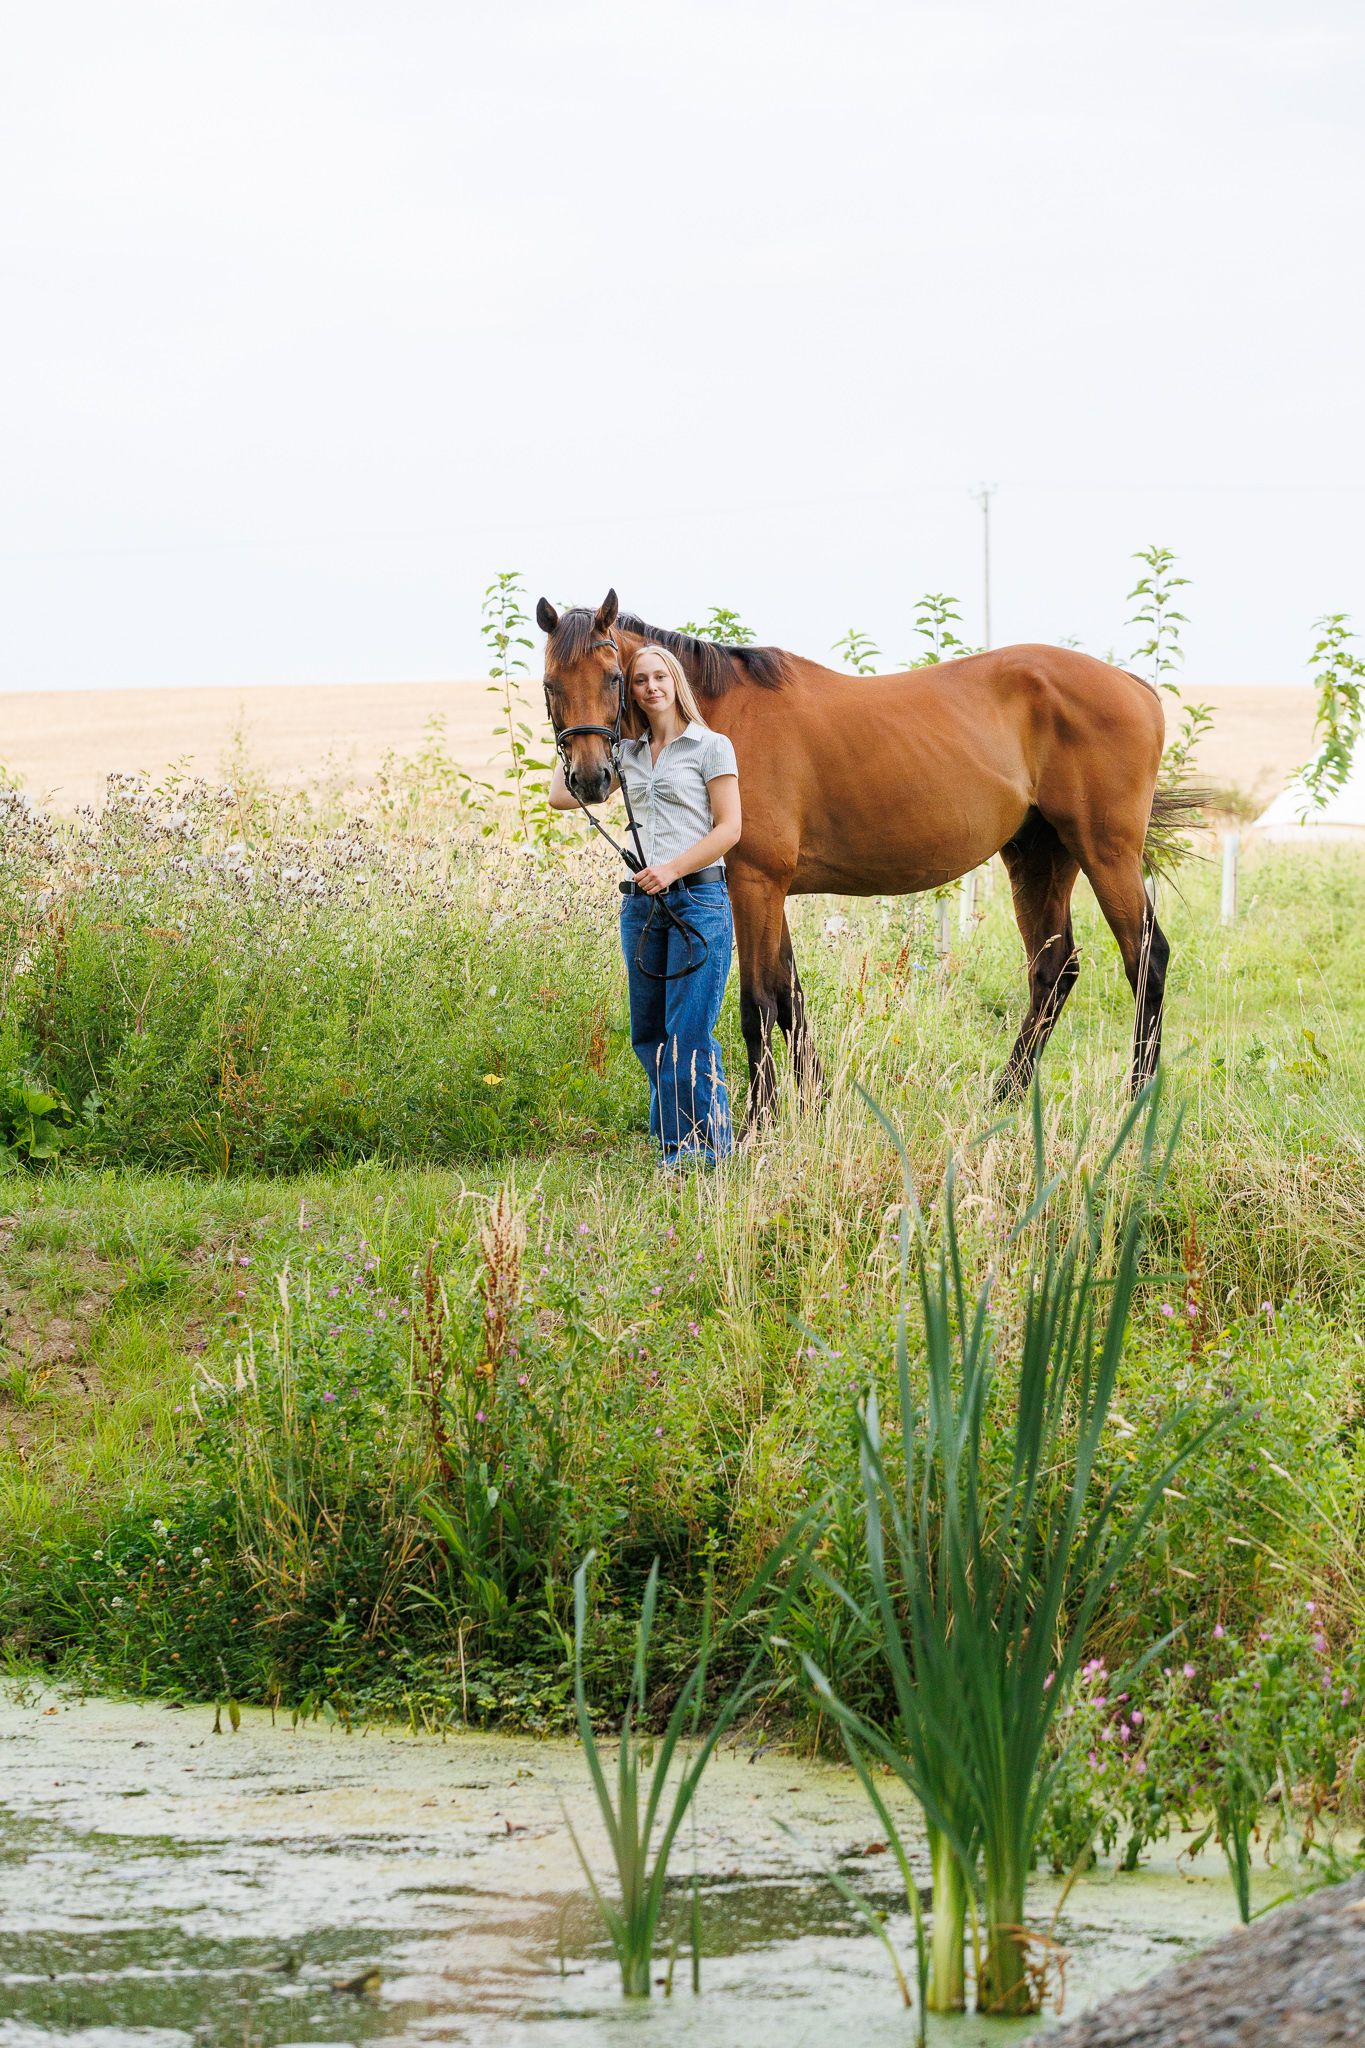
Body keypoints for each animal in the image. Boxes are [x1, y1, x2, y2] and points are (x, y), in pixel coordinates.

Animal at [537, 589, 1199, 1132]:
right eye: (550, 684)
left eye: (615, 676)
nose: (590, 778)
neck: (719, 719)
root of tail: (1132, 685)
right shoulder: (768, 891)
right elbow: (790, 997)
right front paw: (817, 1104)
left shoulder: (755, 884)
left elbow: (758, 1004)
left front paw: (758, 1124)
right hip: (1040, 857)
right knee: (1054, 970)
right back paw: (1005, 1097)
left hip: (1105, 852)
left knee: (1145, 959)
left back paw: (1134, 1101)